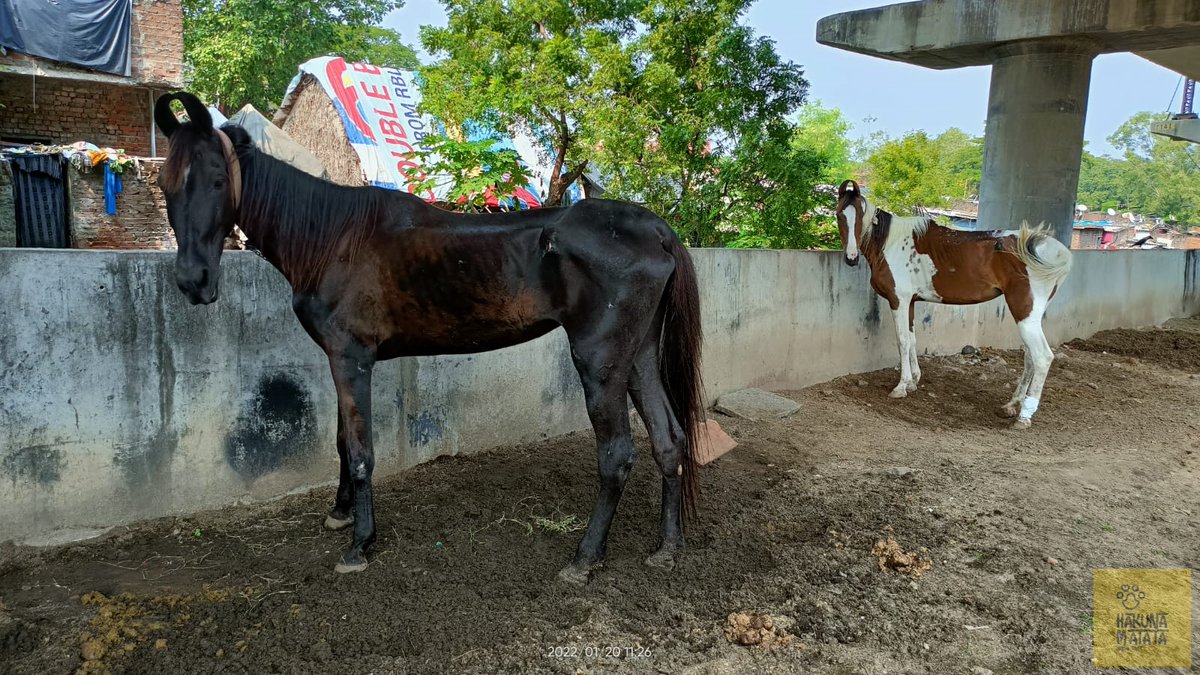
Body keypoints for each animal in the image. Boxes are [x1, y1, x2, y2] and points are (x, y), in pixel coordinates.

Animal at [152, 92, 704, 584]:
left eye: (218, 178)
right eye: (165, 183)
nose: (193, 281)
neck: (332, 239)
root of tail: (655, 228)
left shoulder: (351, 359)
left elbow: (361, 452)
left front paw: (360, 544)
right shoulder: (339, 360)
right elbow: (342, 442)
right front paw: (340, 515)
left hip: (600, 361)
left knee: (617, 456)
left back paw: (585, 558)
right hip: (639, 355)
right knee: (669, 440)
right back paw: (667, 548)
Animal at [834, 180, 1073, 430]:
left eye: (860, 214)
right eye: (840, 214)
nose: (851, 258)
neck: (890, 244)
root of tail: (1052, 249)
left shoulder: (899, 300)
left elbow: (902, 341)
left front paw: (901, 387)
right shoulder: (910, 302)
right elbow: (912, 339)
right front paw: (914, 381)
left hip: (1024, 313)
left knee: (1042, 357)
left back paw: (1024, 417)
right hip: (1030, 316)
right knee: (1029, 356)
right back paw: (1012, 404)